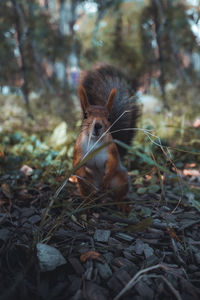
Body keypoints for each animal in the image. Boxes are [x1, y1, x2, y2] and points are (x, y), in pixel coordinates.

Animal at [72, 64, 140, 212]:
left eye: (109, 117)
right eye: (85, 115)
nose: (98, 125)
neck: (95, 141)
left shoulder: (111, 150)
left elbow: (112, 163)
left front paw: (106, 179)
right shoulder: (78, 149)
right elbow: (77, 163)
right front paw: (80, 175)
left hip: (120, 180)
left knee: (118, 194)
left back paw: (120, 203)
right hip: (90, 183)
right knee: (87, 191)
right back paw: (88, 202)